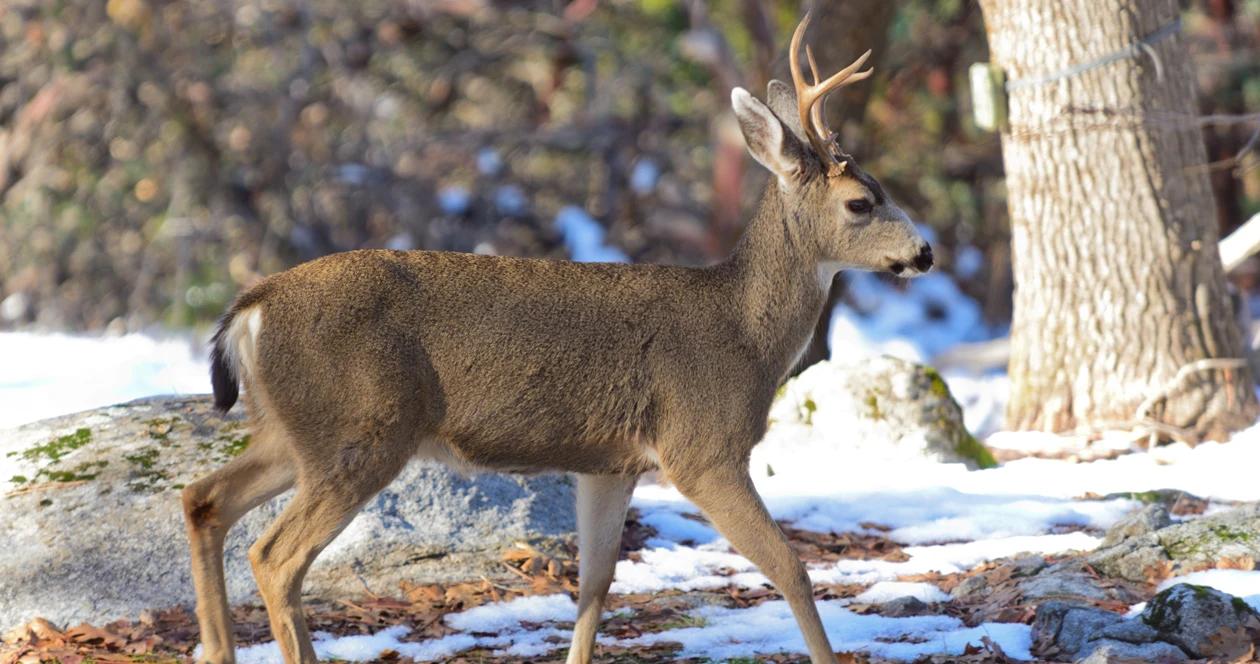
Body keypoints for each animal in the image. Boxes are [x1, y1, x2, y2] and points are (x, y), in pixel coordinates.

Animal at [183, 14, 937, 664]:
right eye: (861, 202)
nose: (925, 252)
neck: (744, 334)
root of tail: (250, 309)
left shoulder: (609, 462)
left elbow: (594, 584)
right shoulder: (702, 446)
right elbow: (791, 568)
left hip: (294, 430)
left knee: (204, 500)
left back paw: (217, 647)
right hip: (362, 428)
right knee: (275, 556)